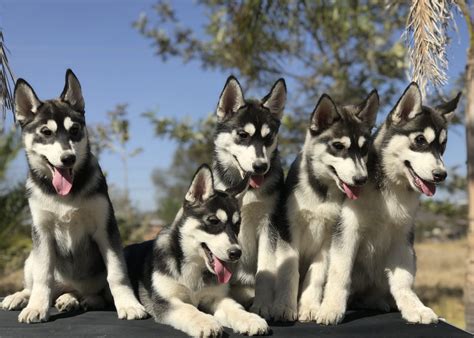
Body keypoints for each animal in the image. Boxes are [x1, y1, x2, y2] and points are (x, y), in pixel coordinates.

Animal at [1, 68, 146, 322]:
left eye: (75, 130)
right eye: (46, 132)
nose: (68, 158)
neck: (65, 196)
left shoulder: (105, 229)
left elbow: (117, 274)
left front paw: (129, 304)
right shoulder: (42, 232)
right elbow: (43, 277)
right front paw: (36, 306)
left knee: (90, 292)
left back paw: (76, 300)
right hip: (31, 257)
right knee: (36, 283)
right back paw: (21, 297)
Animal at [124, 165, 268, 336]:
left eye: (237, 225)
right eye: (213, 221)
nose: (236, 253)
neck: (193, 266)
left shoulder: (217, 298)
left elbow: (235, 307)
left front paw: (250, 318)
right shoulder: (166, 301)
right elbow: (189, 309)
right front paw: (205, 322)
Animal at [212, 76, 296, 320]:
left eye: (268, 138)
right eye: (243, 135)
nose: (261, 166)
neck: (247, 189)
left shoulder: (269, 224)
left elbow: (265, 271)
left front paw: (262, 305)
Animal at [280, 92, 380, 322]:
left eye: (364, 149)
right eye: (338, 146)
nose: (361, 180)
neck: (322, 194)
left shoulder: (330, 237)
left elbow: (316, 275)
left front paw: (309, 306)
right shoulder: (291, 229)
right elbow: (290, 271)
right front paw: (284, 306)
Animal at [316, 82, 462, 324]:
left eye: (443, 145)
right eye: (420, 140)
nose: (441, 175)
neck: (391, 188)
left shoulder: (403, 237)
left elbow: (403, 280)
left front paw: (414, 307)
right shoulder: (347, 230)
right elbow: (340, 272)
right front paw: (331, 308)